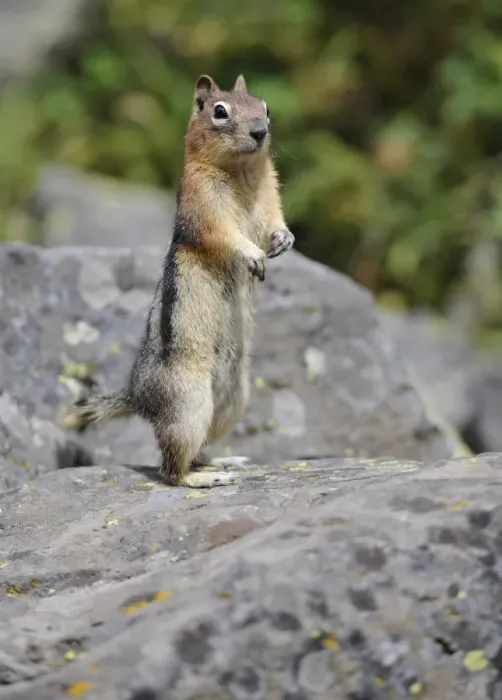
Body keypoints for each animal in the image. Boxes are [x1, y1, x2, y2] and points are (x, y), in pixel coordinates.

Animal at [60, 73, 295, 488]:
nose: (260, 131)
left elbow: (274, 222)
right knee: (170, 466)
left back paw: (221, 462)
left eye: (264, 107)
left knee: (196, 450)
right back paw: (201, 480)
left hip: (231, 401)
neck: (242, 172)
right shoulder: (202, 205)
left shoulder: (271, 196)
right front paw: (252, 255)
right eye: (220, 111)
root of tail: (138, 396)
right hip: (189, 402)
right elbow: (225, 236)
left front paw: (284, 240)